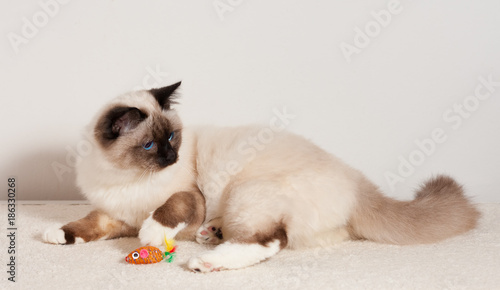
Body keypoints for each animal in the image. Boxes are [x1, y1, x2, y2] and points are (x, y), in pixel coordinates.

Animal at [43, 81, 480, 272]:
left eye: (171, 138)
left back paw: (207, 262)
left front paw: (152, 235)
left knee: (271, 241)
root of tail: (359, 183)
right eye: (151, 146)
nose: (172, 156)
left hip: (246, 192)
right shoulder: (113, 215)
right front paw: (55, 235)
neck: (125, 179)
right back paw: (212, 236)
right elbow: (84, 224)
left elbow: (166, 211)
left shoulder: (189, 198)